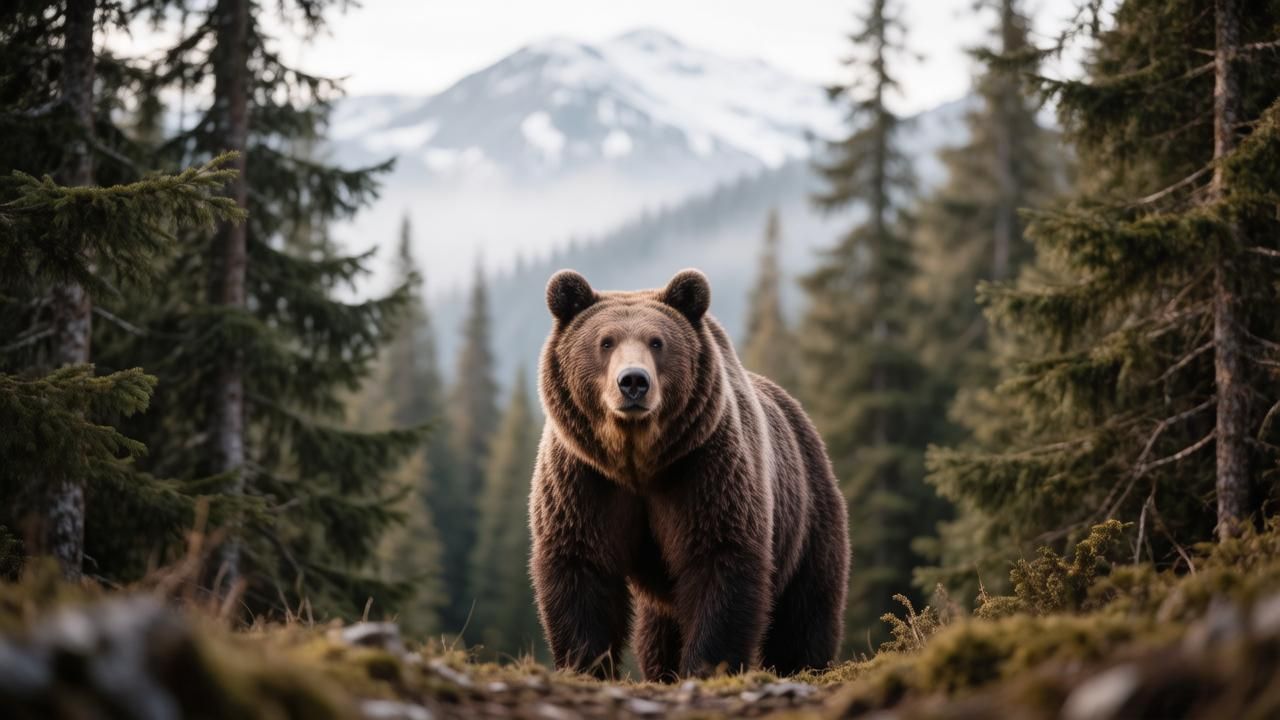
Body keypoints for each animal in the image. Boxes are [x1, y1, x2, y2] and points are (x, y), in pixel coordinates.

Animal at [529, 268, 849, 681]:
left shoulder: (703, 470)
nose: (633, 381)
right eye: (605, 341)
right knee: (658, 628)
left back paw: (803, 666)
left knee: (806, 610)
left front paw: (707, 666)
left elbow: (718, 560)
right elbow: (580, 567)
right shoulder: (584, 480)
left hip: (808, 513)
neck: (637, 458)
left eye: (657, 341)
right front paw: (587, 665)